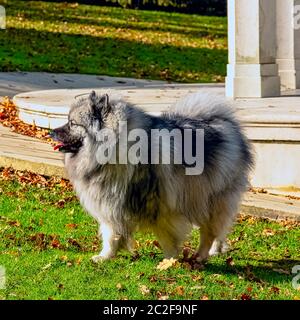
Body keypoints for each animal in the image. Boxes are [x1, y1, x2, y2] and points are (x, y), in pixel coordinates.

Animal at [51, 89, 253, 262]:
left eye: (72, 123)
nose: (51, 132)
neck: (116, 151)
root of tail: (225, 124)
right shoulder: (111, 205)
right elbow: (111, 234)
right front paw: (105, 256)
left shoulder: (163, 207)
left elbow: (166, 237)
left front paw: (169, 260)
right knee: (220, 230)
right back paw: (215, 250)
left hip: (211, 199)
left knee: (209, 232)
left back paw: (201, 255)